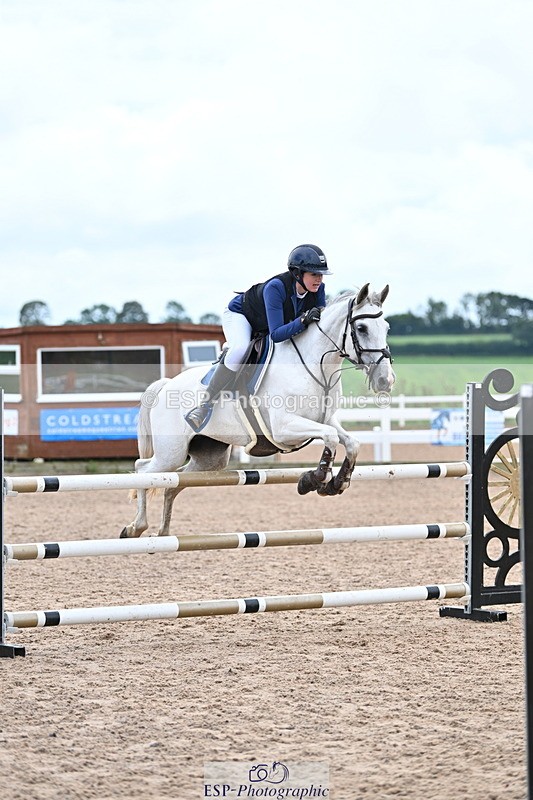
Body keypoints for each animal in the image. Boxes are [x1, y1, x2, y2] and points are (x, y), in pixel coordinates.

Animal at [120, 283, 395, 538]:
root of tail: (165, 385)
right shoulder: (284, 428)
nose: (386, 380)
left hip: (210, 459)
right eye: (362, 328)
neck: (315, 366)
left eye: (387, 328)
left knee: (172, 484)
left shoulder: (325, 419)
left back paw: (163, 532)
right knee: (143, 470)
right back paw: (135, 528)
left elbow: (350, 442)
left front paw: (337, 483)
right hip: (172, 452)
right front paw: (313, 479)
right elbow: (330, 437)